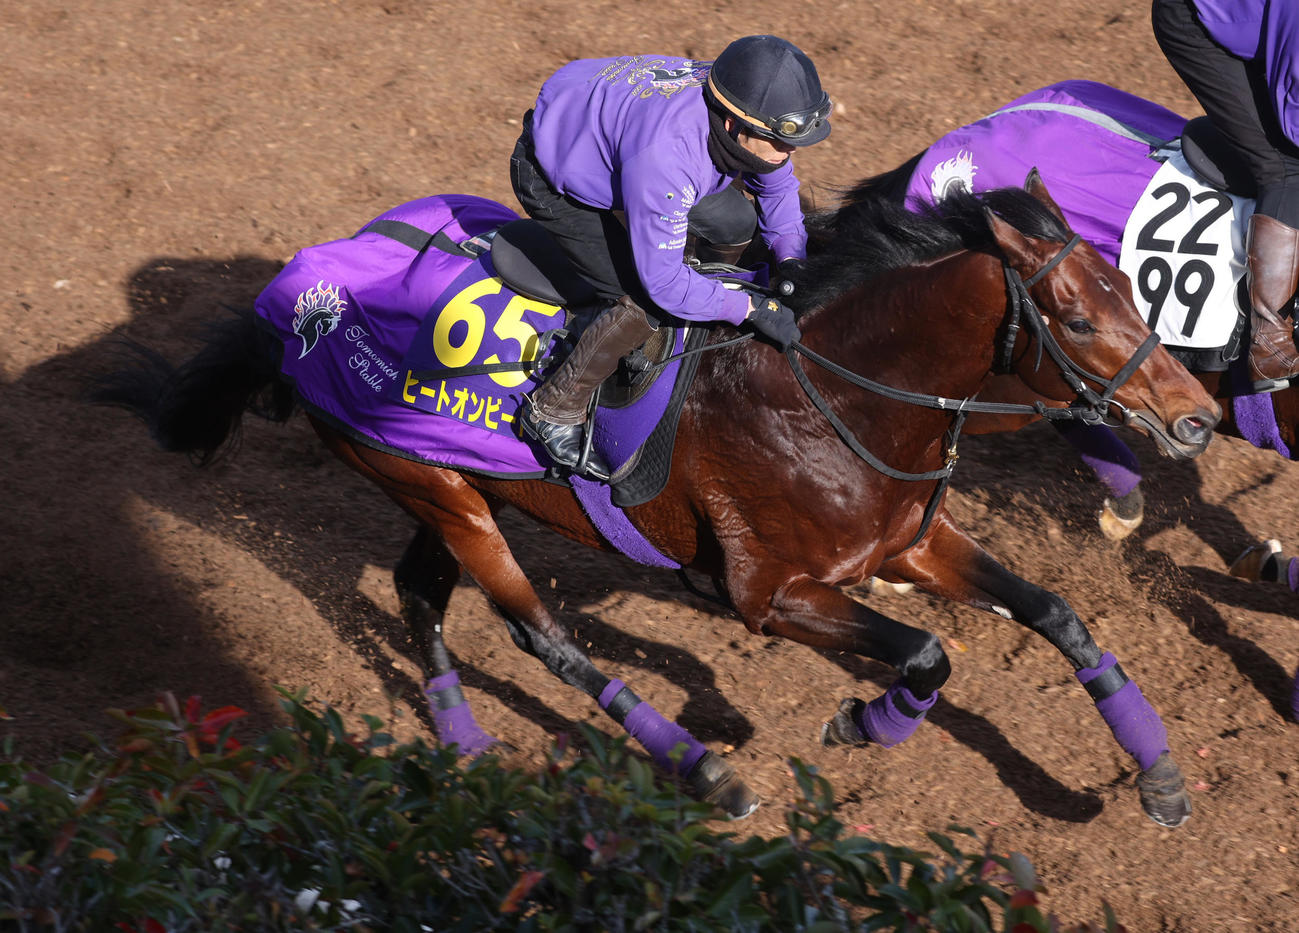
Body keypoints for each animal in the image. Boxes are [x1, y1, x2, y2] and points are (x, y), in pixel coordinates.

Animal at [93, 173, 1219, 828]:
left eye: (1132, 287)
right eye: (1077, 316)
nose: (1198, 419)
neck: (834, 391)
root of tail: (297, 294)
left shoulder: (904, 543)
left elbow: (1055, 614)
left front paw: (1157, 776)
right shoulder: (770, 593)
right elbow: (926, 656)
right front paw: (862, 725)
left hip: (443, 485)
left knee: (420, 593)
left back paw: (461, 742)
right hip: (440, 491)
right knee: (538, 632)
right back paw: (698, 770)